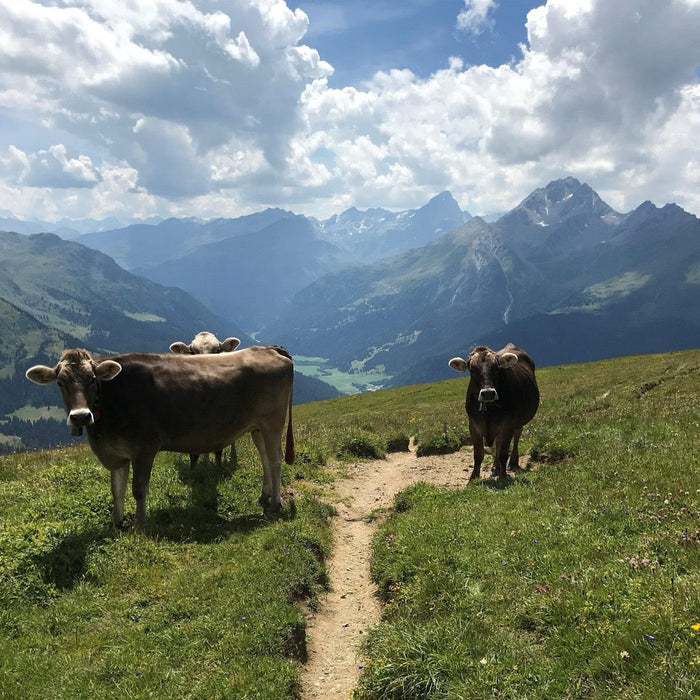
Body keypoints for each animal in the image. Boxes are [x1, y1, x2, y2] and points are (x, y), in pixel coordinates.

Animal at [26, 348, 296, 528]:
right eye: (60, 383)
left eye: (92, 379)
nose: (81, 416)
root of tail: (267, 348)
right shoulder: (117, 453)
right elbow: (117, 490)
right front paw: (117, 522)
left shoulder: (144, 448)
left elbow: (138, 489)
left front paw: (140, 524)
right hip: (256, 427)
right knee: (264, 459)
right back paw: (264, 495)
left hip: (272, 422)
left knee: (274, 461)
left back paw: (275, 503)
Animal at [448, 344, 540, 482]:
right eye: (471, 370)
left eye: (497, 368)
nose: (487, 393)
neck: (489, 411)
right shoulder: (473, 425)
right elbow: (478, 454)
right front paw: (473, 478)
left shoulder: (508, 425)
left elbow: (503, 453)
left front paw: (503, 477)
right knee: (497, 443)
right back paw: (495, 468)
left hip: (518, 421)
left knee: (516, 436)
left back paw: (513, 462)